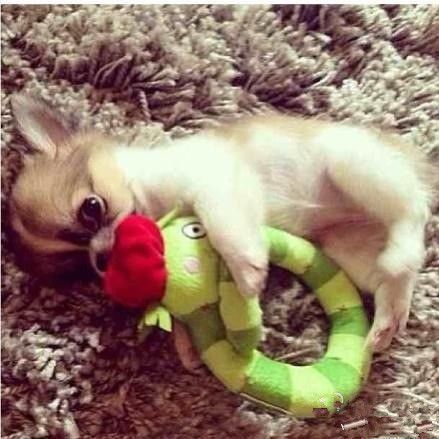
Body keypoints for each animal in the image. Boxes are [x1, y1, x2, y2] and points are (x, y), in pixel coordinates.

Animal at [8, 93, 435, 355]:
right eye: (81, 269)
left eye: (91, 208)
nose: (101, 257)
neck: (152, 198)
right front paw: (187, 346)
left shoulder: (216, 181)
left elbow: (223, 225)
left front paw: (248, 273)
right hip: (347, 248)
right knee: (396, 276)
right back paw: (388, 318)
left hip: (352, 164)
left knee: (414, 211)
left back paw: (398, 253)